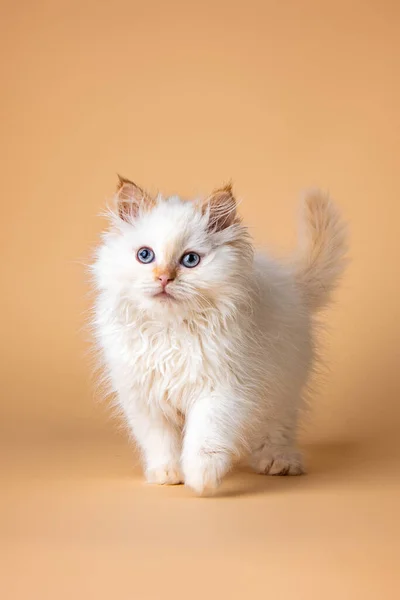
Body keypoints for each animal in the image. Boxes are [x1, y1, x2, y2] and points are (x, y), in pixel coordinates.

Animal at [91, 178, 346, 496]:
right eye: (145, 255)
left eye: (190, 260)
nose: (163, 278)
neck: (171, 331)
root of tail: (291, 284)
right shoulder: (143, 396)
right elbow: (160, 440)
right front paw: (167, 473)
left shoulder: (221, 390)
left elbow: (205, 438)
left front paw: (201, 478)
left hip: (282, 386)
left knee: (277, 427)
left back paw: (278, 461)